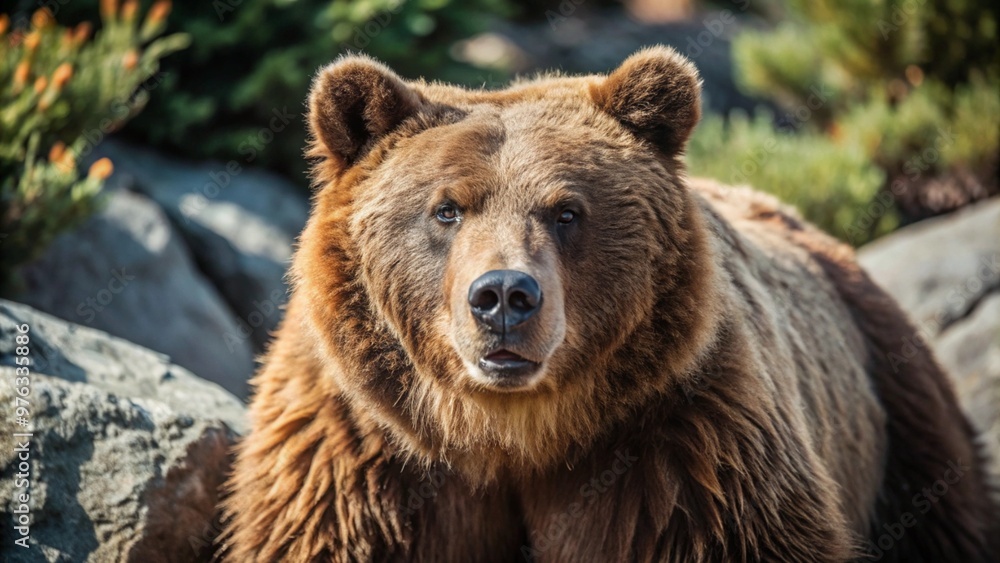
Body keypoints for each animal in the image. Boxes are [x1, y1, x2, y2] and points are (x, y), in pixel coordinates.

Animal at [220, 46, 998, 562]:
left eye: (567, 211)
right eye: (446, 209)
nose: (504, 296)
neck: (508, 433)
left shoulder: (680, 449)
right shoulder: (358, 455)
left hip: (901, 413)